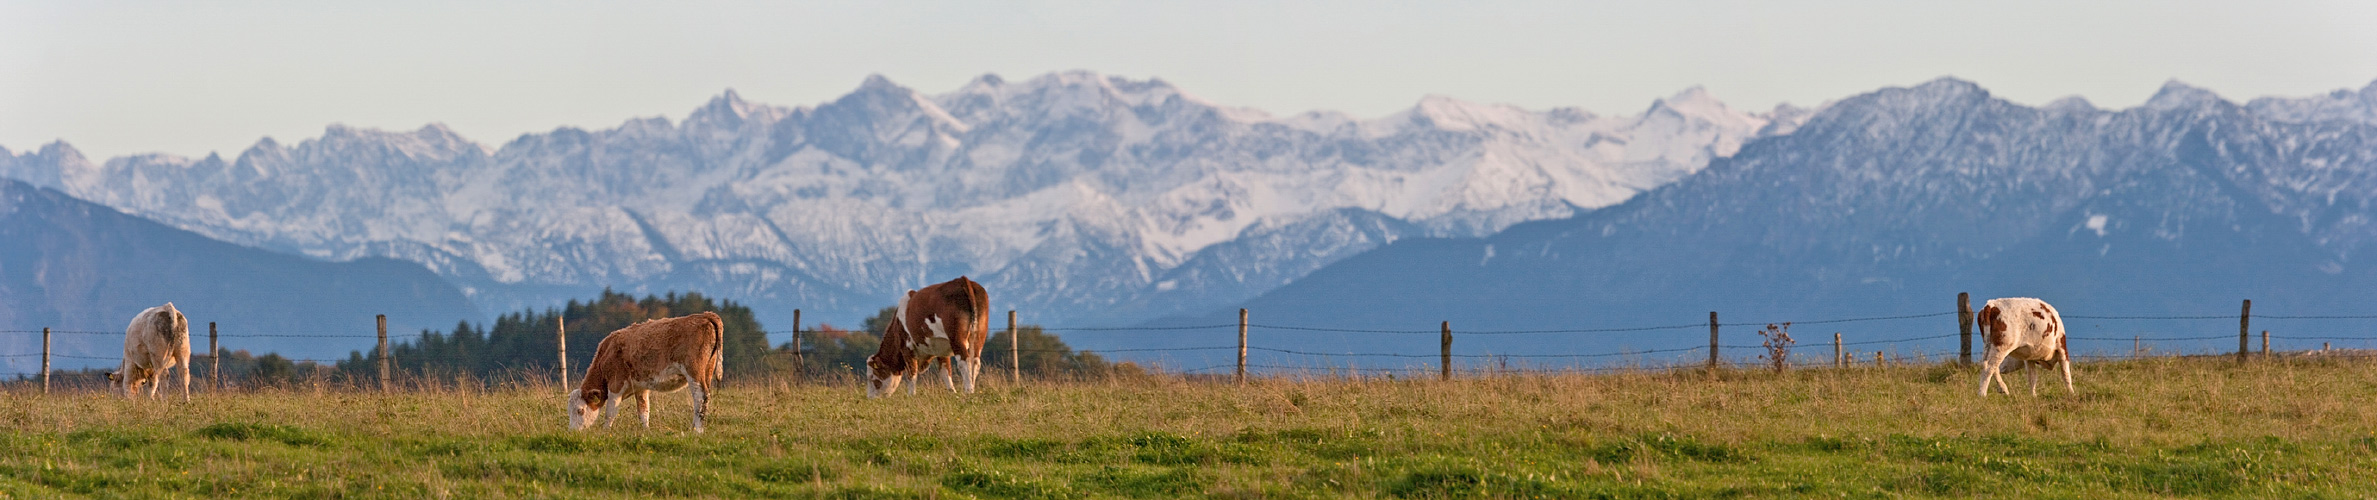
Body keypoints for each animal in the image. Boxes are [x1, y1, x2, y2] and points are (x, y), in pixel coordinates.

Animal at [565, 311, 722, 433]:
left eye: (580, 410)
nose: (572, 431)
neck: (606, 353)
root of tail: (705, 315)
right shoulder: (641, 388)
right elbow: (643, 411)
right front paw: (646, 431)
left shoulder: (616, 384)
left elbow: (610, 412)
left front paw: (605, 431)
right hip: (707, 370)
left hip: (694, 371)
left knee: (700, 397)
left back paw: (697, 430)